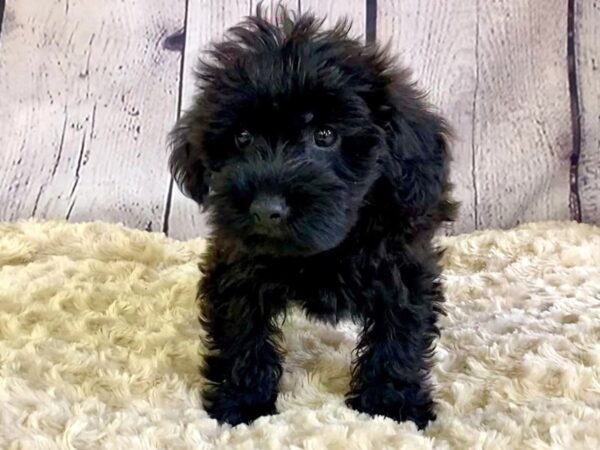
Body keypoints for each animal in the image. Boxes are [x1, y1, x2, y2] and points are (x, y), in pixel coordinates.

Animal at [169, 7, 454, 428]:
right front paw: (242, 400)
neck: (324, 252)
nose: (266, 210)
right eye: (242, 137)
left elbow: (398, 331)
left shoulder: (404, 263)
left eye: (325, 135)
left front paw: (391, 404)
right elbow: (241, 329)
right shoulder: (237, 264)